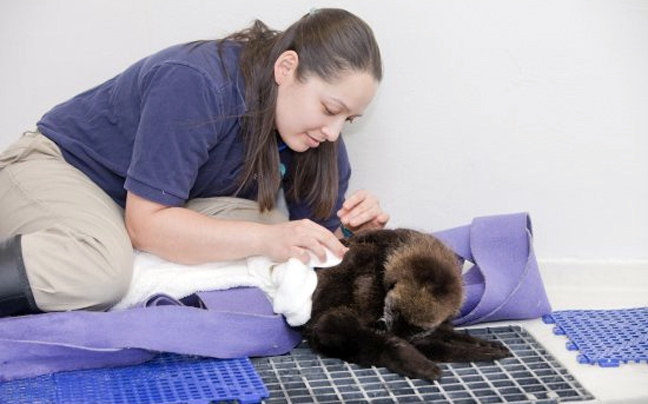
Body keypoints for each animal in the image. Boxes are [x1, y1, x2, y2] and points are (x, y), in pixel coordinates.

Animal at [302, 228, 511, 381]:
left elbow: (444, 333)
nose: (398, 333)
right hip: (335, 319)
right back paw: (420, 364)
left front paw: (481, 342)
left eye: (419, 327)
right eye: (395, 310)